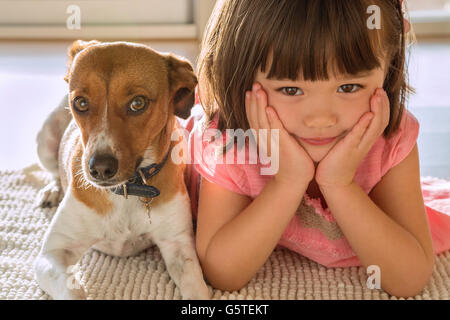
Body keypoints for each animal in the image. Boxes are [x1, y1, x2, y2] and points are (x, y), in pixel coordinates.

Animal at [33, 40, 209, 300]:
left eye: (138, 103)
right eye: (81, 103)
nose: (100, 168)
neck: (128, 189)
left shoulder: (177, 244)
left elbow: (196, 290)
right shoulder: (53, 252)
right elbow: (72, 290)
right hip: (46, 139)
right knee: (54, 171)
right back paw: (53, 190)